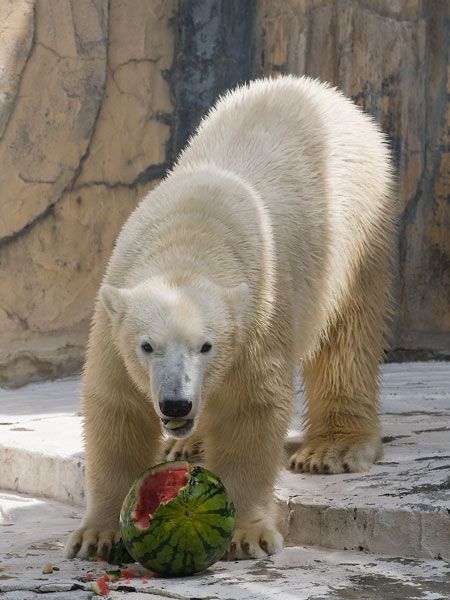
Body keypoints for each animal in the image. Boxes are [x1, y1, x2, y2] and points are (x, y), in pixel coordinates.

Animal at [65, 76, 396, 564]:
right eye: (147, 346)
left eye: (207, 346)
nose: (176, 404)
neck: (190, 240)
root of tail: (322, 90)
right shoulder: (114, 319)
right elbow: (117, 409)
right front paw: (95, 536)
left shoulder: (259, 313)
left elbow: (249, 409)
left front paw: (246, 534)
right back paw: (188, 443)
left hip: (357, 226)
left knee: (347, 334)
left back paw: (330, 450)